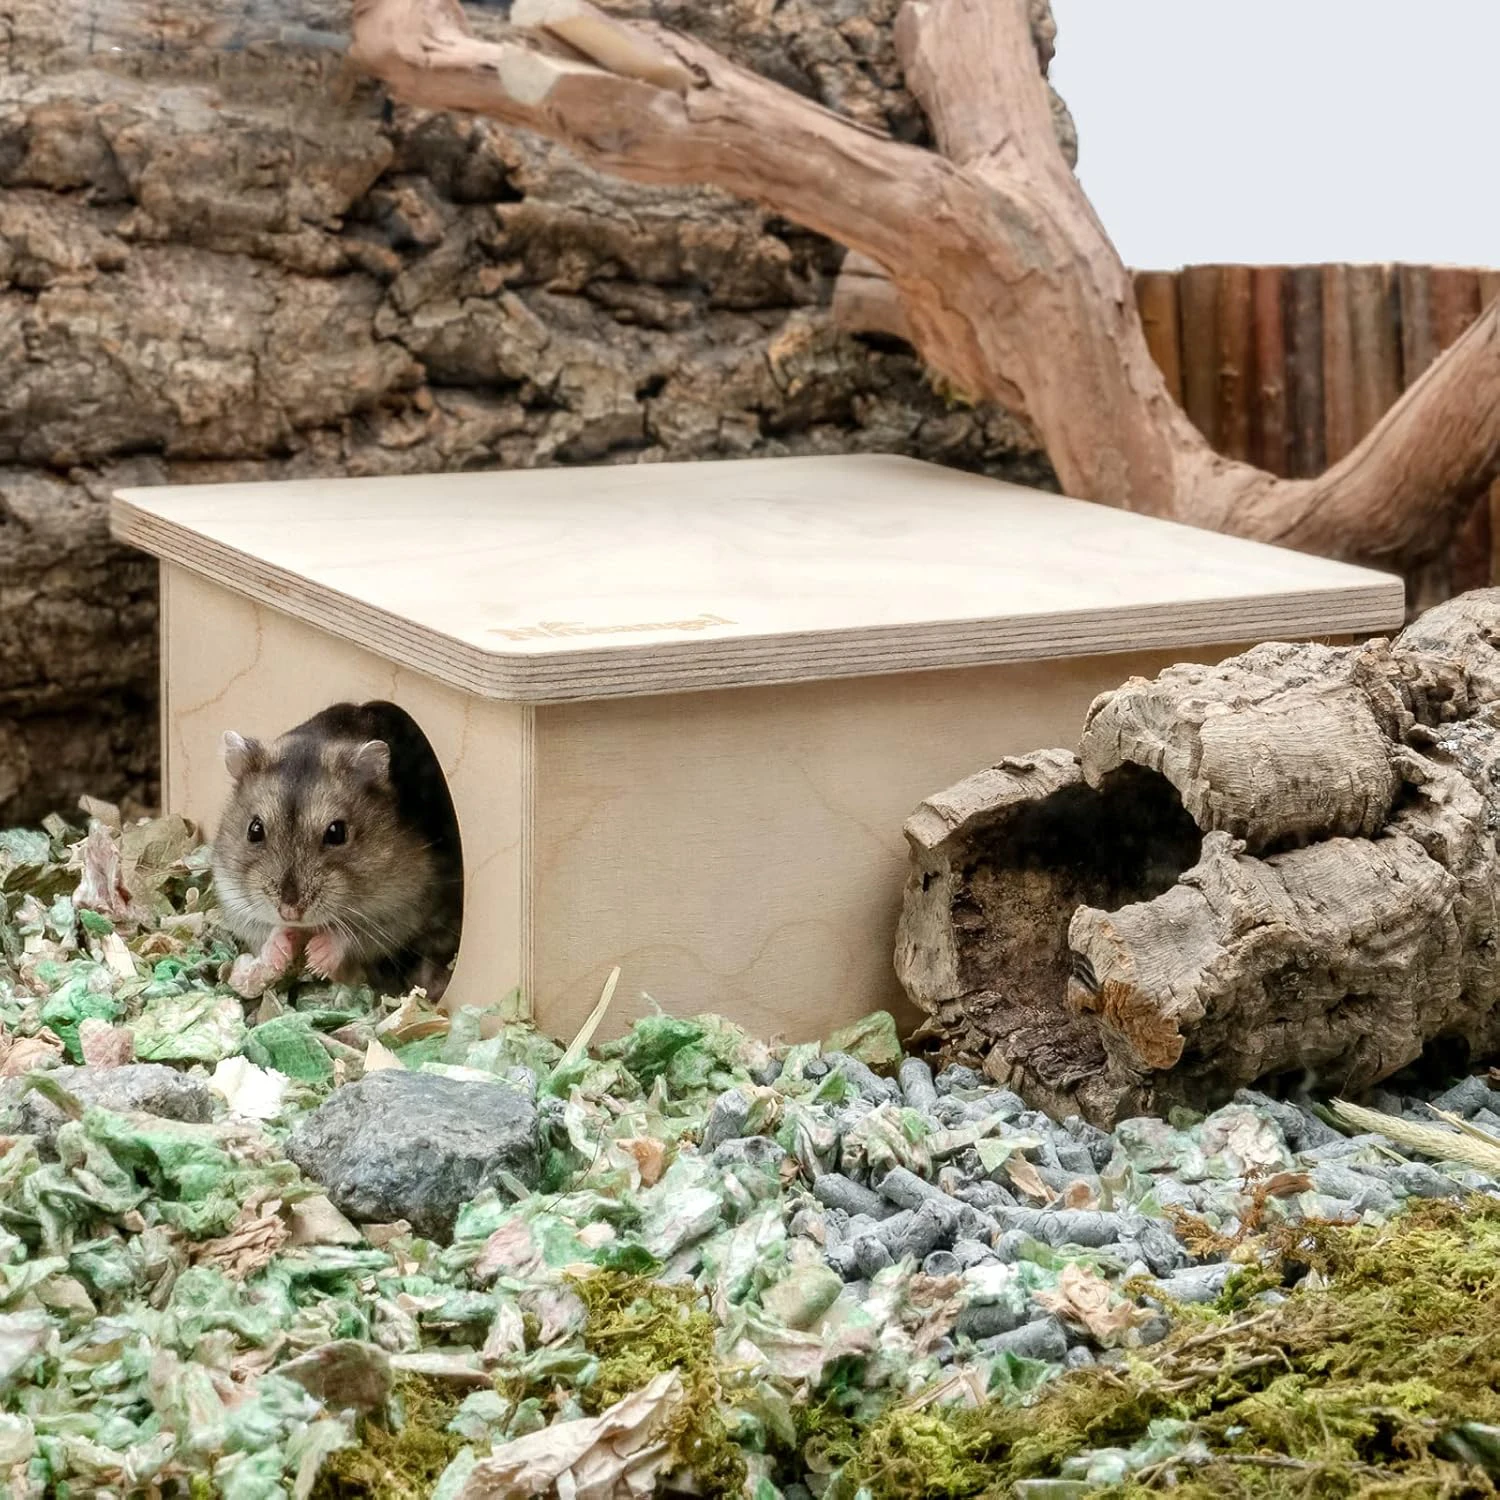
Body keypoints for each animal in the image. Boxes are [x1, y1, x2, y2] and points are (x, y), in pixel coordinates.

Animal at [210, 700, 463, 1000]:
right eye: (254, 829)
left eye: (336, 833)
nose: (290, 913)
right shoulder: (234, 899)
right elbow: (265, 930)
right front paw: (281, 947)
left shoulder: (403, 908)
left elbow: (352, 935)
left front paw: (315, 957)